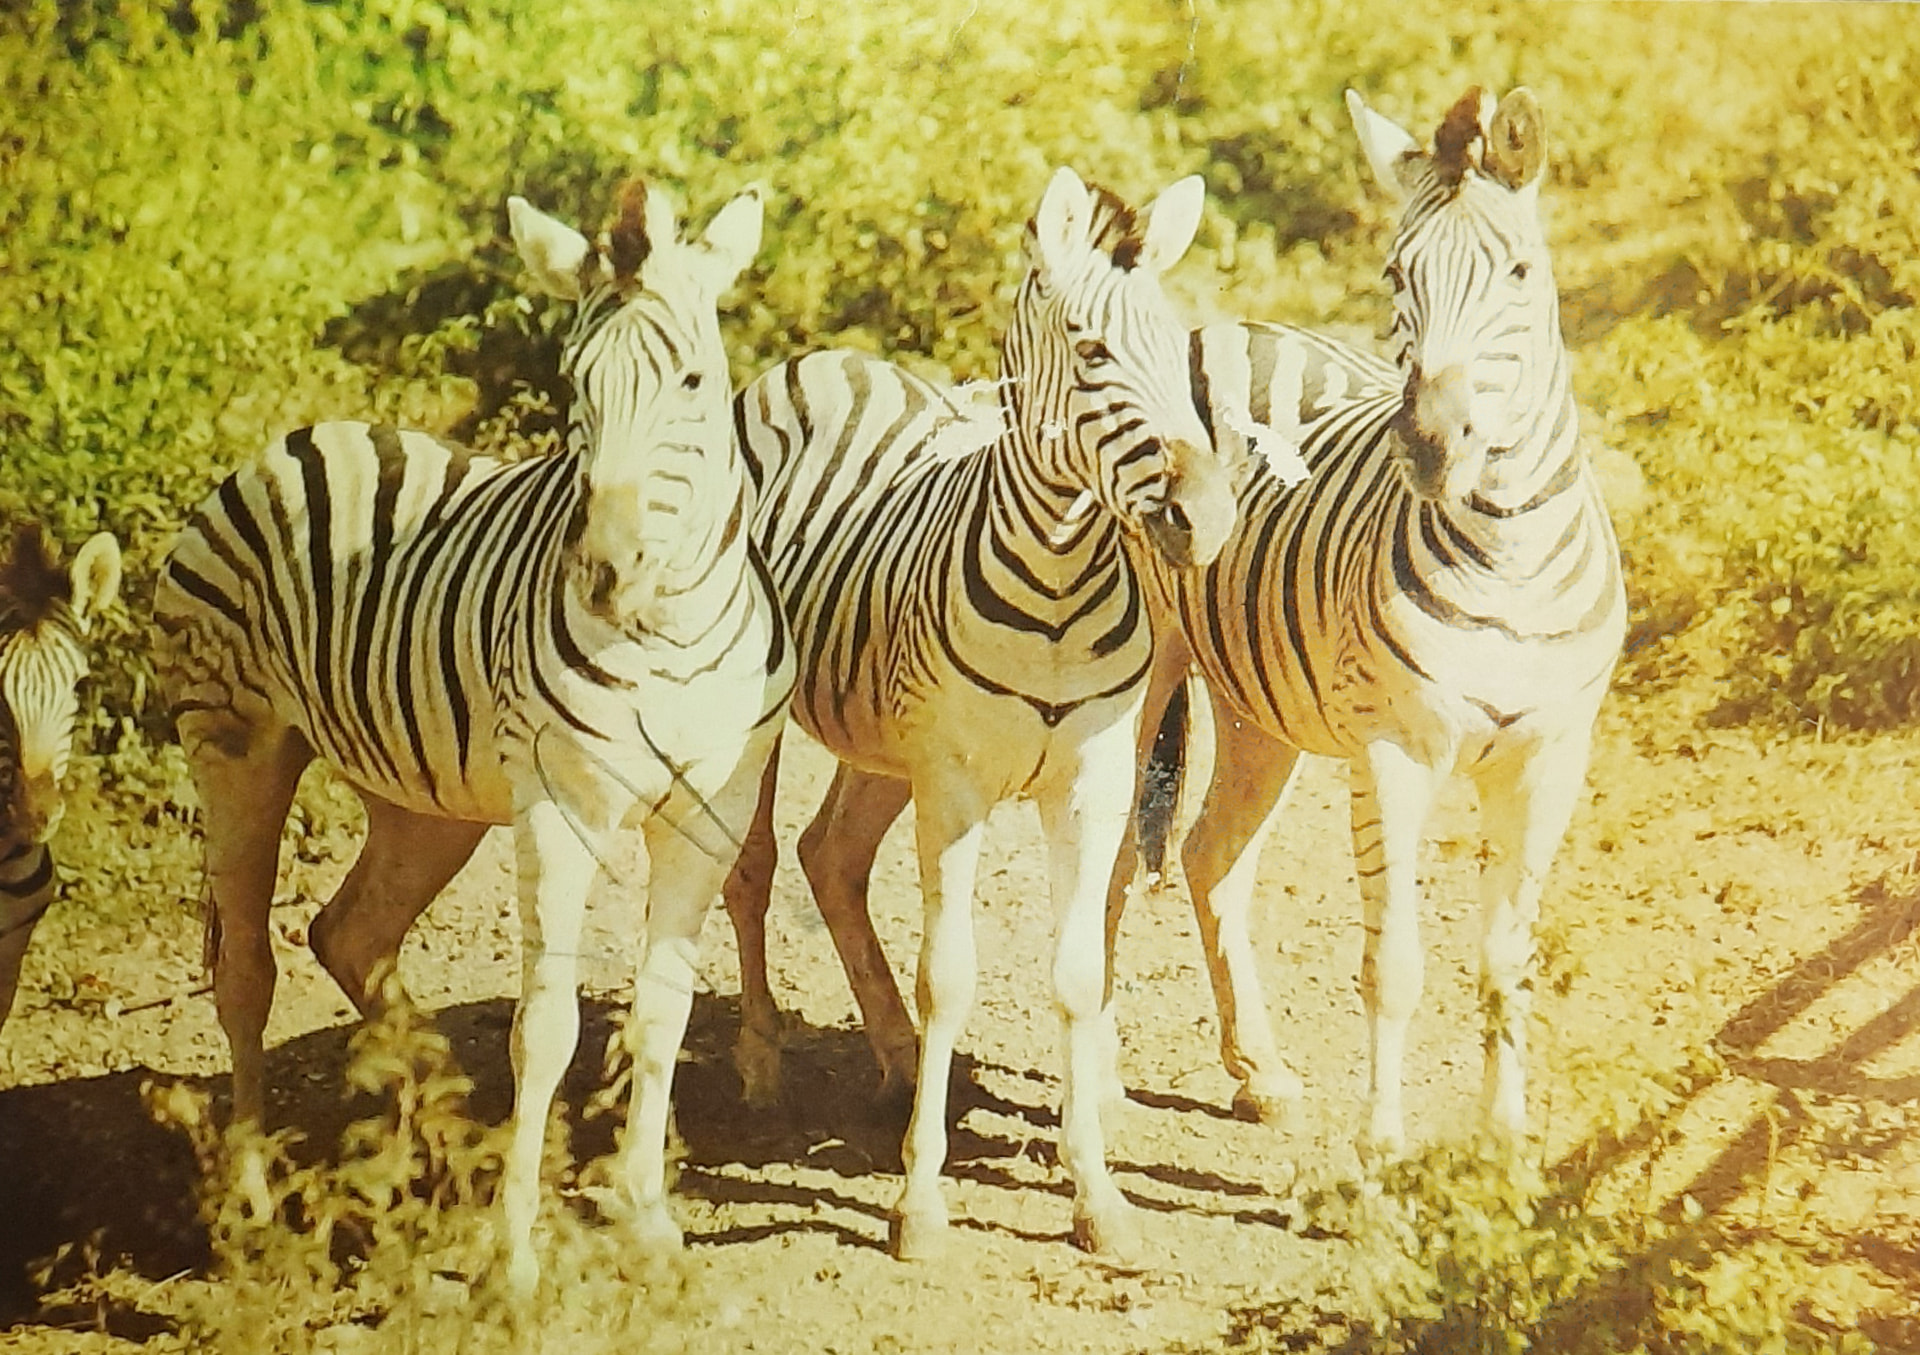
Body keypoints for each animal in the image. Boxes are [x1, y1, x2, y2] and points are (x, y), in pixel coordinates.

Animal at [154, 181, 791, 1294]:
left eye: (692, 379)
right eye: (573, 382)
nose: (605, 573)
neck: (666, 633)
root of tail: (293, 440)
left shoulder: (706, 812)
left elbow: (662, 1007)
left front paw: (646, 1217)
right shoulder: (561, 808)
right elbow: (548, 1028)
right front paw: (515, 1253)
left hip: (423, 797)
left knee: (348, 930)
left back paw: (443, 1141)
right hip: (235, 745)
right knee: (247, 969)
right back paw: (256, 1203)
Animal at [719, 167, 1245, 1261]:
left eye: (1179, 351)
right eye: (1092, 351)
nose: (1208, 518)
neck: (1056, 586)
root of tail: (817, 359)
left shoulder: (1088, 781)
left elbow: (1077, 975)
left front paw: (1098, 1194)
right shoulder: (955, 785)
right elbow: (950, 976)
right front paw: (919, 1202)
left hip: (883, 740)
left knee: (829, 853)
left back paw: (895, 1055)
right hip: (768, 716)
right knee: (750, 869)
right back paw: (761, 1066)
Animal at [1112, 86, 1628, 1155]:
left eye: (1521, 273)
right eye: (1397, 274)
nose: (1432, 445)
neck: (1508, 554)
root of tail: (1214, 329)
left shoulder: (1552, 756)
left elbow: (1506, 963)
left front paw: (1505, 1150)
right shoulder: (1394, 749)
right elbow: (1393, 966)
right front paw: (1383, 1152)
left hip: (1259, 707)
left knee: (1211, 855)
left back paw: (1260, 1072)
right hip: (1139, 673)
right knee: (1106, 876)